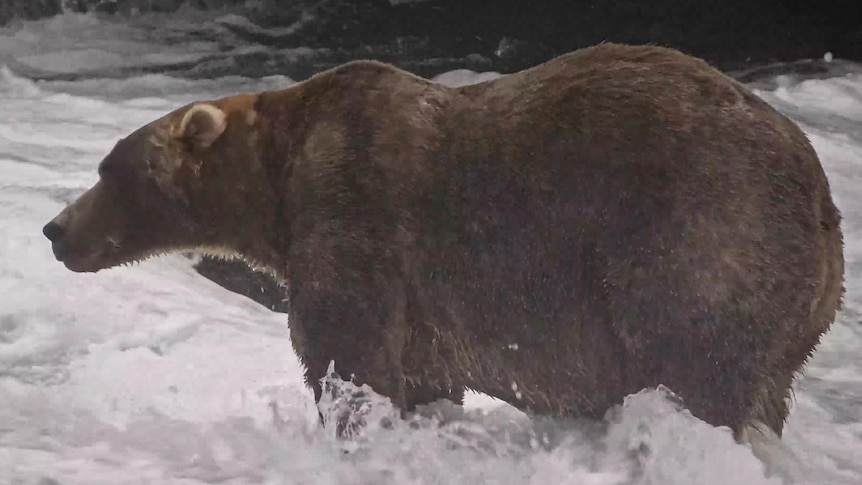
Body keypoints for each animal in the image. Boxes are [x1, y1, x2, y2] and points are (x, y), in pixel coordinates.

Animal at [42, 43, 844, 441]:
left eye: (109, 169)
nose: (55, 229)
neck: (275, 183)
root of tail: (820, 191)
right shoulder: (423, 303)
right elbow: (422, 374)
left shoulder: (354, 212)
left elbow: (347, 353)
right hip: (800, 305)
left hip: (696, 233)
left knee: (698, 362)